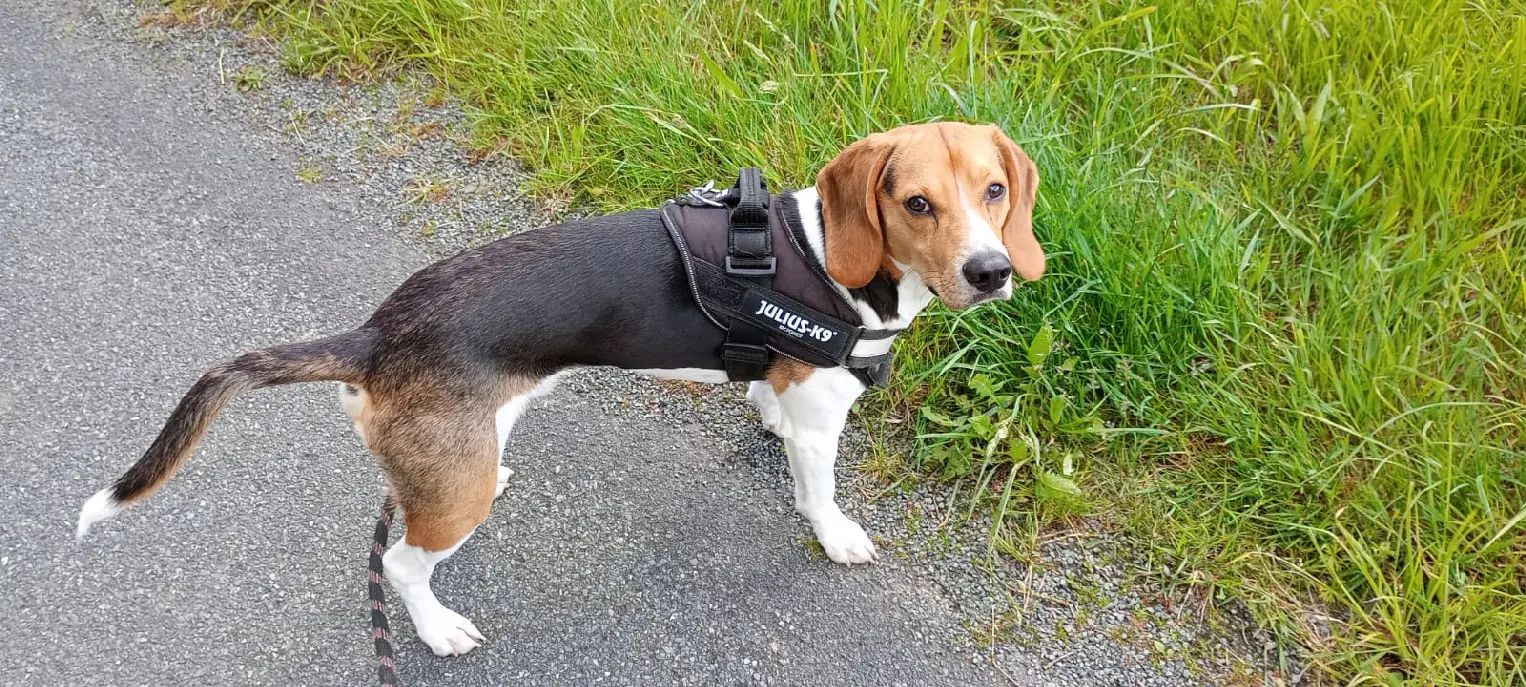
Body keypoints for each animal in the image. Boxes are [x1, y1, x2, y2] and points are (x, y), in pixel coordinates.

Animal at [77, 120, 1043, 656]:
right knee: (399, 561)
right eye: (916, 204)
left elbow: (766, 404)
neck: (821, 255)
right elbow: (819, 490)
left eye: (996, 190)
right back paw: (436, 629)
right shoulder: (821, 421)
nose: (992, 271)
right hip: (453, 499)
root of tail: (378, 334)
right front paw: (837, 535)